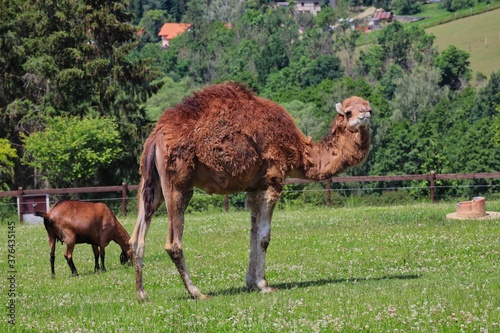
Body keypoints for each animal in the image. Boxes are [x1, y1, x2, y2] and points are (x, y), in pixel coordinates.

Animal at [129, 81, 372, 300]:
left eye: (368, 106)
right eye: (348, 112)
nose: (366, 115)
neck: (300, 151)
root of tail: (155, 138)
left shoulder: (255, 187)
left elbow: (253, 233)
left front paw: (251, 283)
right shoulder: (272, 181)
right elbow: (264, 237)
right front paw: (263, 285)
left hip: (150, 183)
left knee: (136, 238)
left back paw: (142, 294)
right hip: (178, 182)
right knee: (173, 243)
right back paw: (197, 293)